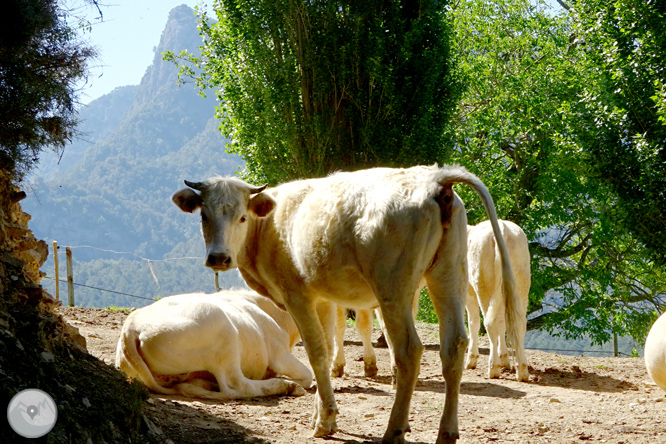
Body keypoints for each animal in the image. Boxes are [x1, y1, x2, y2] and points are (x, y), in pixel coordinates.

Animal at [114, 292, 312, 398]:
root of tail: (131, 326)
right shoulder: (278, 353)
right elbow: (308, 376)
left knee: (186, 386)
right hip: (225, 334)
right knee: (237, 386)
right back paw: (286, 386)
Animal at [172, 165, 520, 442]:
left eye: (242, 217)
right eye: (204, 216)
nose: (218, 258)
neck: (269, 227)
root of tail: (435, 178)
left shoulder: (297, 294)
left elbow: (315, 352)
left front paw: (325, 421)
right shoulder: (323, 298)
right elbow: (327, 350)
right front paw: (322, 414)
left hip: (393, 288)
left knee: (409, 351)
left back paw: (394, 431)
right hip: (448, 275)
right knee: (454, 346)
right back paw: (447, 432)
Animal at [462, 219, 528, 382]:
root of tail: (502, 228)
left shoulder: (468, 291)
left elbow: (473, 322)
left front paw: (471, 359)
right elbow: (502, 323)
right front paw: (504, 358)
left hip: (483, 284)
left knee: (489, 322)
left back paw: (493, 368)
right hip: (520, 282)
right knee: (519, 322)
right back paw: (522, 370)